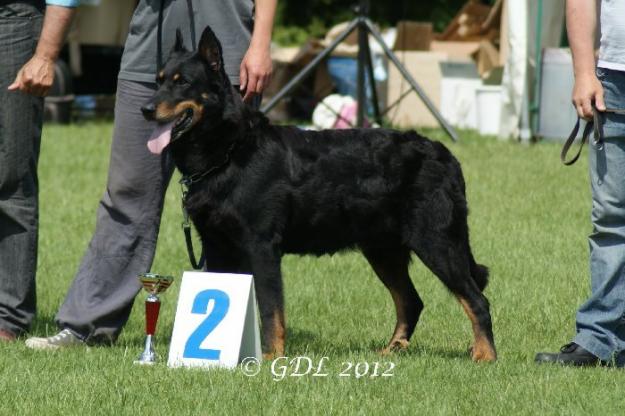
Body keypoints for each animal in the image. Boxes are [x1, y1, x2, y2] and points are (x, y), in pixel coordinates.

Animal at [143, 27, 498, 362]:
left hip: (437, 242)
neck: (228, 152)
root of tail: (445, 155)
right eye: (158, 81)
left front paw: (271, 357)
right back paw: (392, 350)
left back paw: (485, 356)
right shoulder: (216, 245)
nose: (145, 109)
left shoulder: (262, 247)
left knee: (476, 299)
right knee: (411, 301)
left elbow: (271, 310)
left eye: (183, 82)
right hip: (383, 250)